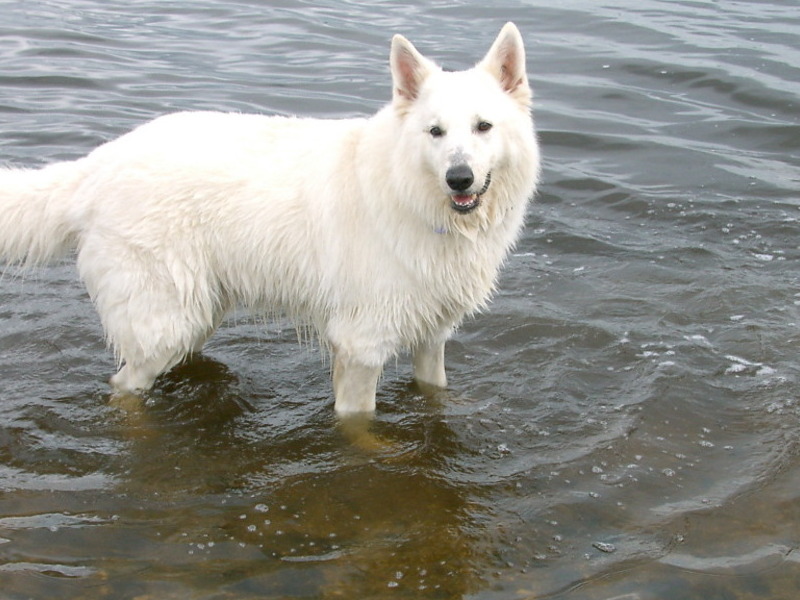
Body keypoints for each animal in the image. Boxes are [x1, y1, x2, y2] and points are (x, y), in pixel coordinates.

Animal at [0, 25, 540, 414]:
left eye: (483, 127)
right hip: (166, 324)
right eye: (435, 132)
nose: (459, 178)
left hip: (197, 314)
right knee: (123, 387)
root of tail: (97, 164)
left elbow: (434, 388)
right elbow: (360, 425)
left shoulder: (431, 336)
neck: (412, 196)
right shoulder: (361, 346)